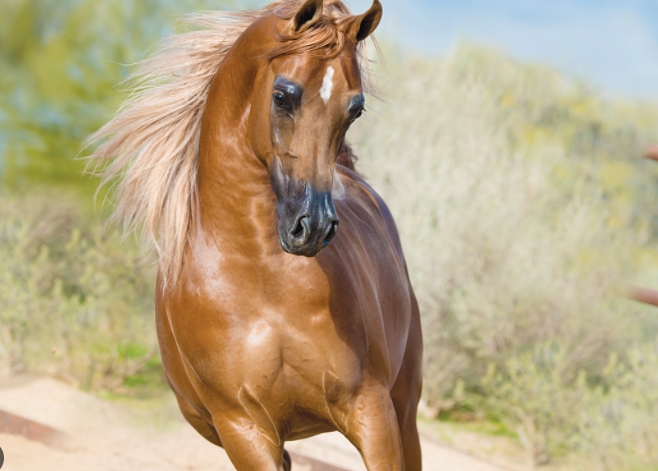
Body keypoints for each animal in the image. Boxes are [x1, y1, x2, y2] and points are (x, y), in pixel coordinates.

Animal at [87, 0, 422, 470]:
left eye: (355, 109)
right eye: (282, 95)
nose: (313, 226)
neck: (262, 279)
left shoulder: (371, 409)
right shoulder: (244, 428)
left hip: (405, 408)